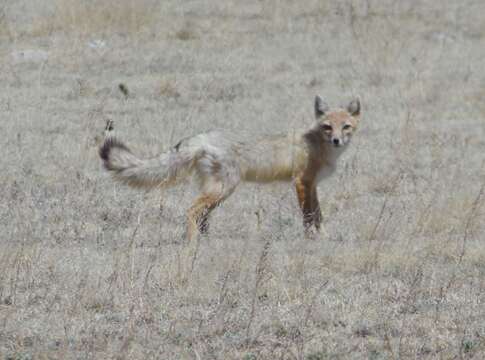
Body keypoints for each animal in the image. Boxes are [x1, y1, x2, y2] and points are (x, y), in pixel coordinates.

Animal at [99, 96, 360, 239]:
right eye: (328, 127)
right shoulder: (302, 183)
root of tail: (200, 136)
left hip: (217, 192)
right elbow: (309, 216)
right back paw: (191, 243)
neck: (316, 144)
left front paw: (324, 236)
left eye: (345, 126)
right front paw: (311, 239)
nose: (337, 140)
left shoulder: (312, 185)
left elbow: (318, 214)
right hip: (224, 188)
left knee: (202, 216)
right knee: (192, 211)